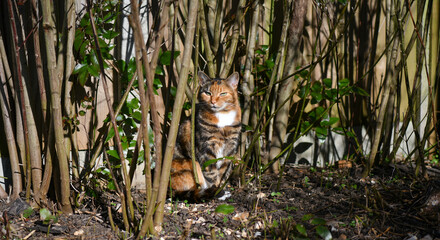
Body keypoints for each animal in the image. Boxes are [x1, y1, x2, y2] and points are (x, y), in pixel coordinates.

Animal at [171, 71, 241, 201]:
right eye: (208, 93)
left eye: (223, 93)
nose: (213, 102)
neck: (222, 115)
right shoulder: (206, 149)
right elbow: (211, 173)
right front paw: (218, 193)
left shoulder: (230, 147)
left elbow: (222, 172)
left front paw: (221, 189)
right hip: (192, 164)